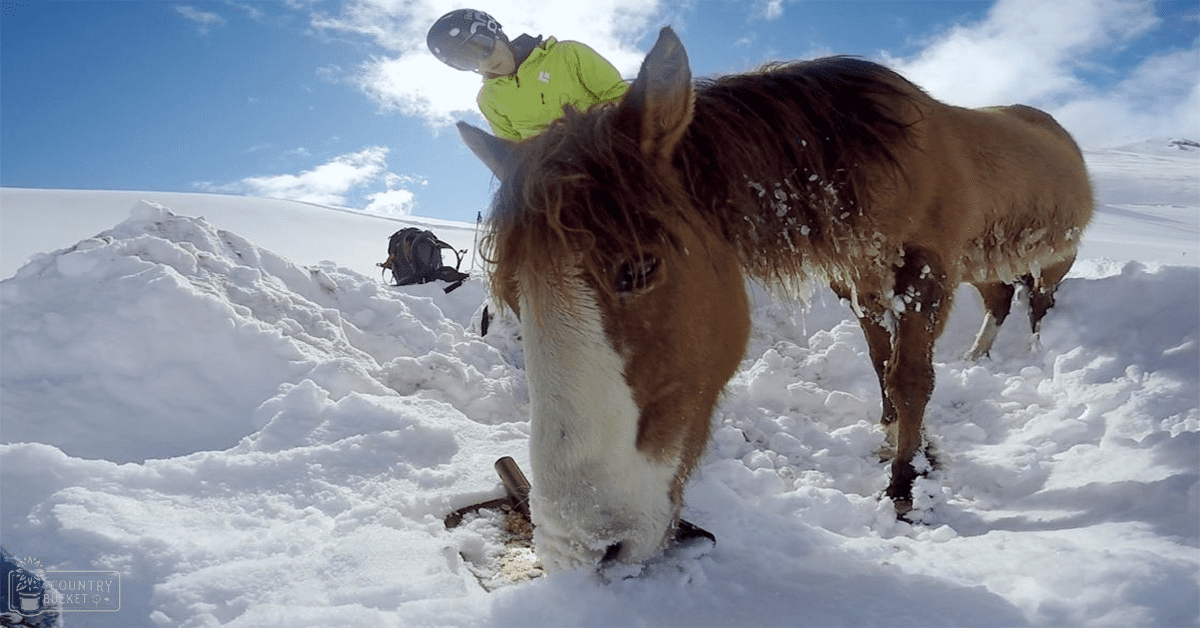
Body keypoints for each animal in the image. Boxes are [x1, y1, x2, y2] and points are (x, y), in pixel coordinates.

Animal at [458, 27, 1092, 571]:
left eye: (639, 268)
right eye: (514, 297)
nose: (584, 548)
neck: (867, 155)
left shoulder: (925, 272)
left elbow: (911, 377)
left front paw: (904, 486)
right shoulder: (860, 275)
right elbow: (880, 363)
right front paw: (890, 434)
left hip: (1051, 259)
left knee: (1038, 305)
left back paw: (1034, 357)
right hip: (984, 264)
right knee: (1001, 298)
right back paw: (979, 355)